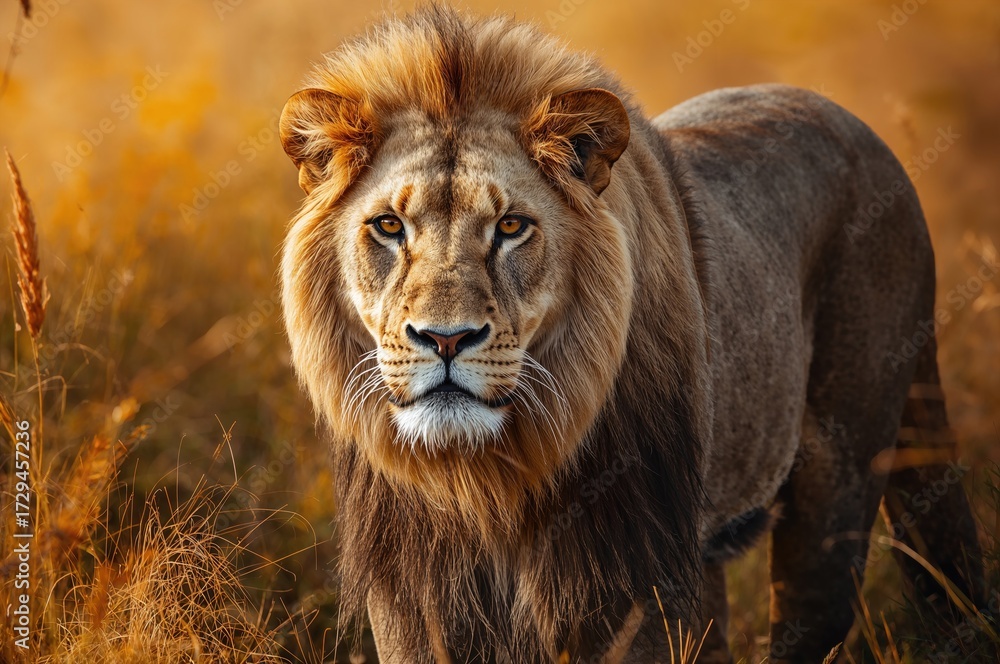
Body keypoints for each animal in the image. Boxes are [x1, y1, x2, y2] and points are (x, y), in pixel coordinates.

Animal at [278, 7, 984, 663]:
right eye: (389, 226)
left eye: (510, 226)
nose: (445, 339)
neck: (489, 480)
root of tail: (861, 129)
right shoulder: (410, 592)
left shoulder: (632, 580)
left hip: (840, 470)